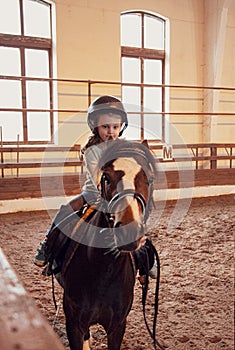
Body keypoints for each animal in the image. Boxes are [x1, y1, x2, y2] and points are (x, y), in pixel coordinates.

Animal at [47, 139, 158, 350]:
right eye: (106, 177)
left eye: (149, 179)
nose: (128, 231)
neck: (104, 271)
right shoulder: (73, 325)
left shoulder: (117, 326)